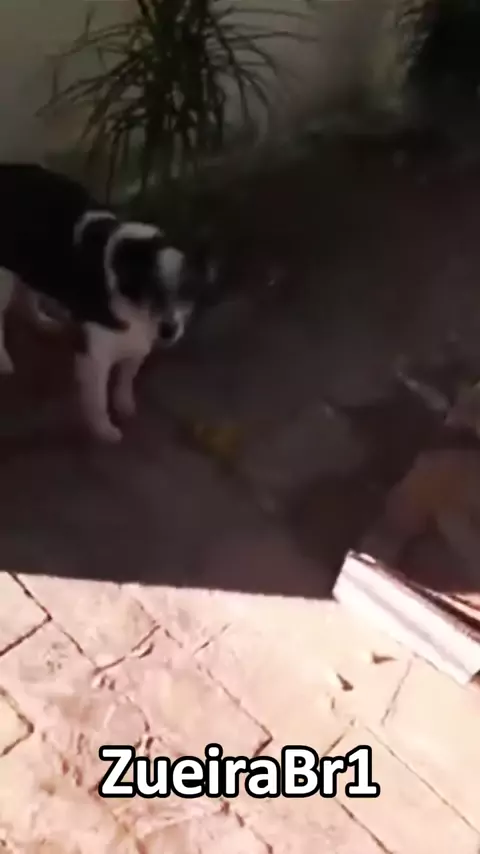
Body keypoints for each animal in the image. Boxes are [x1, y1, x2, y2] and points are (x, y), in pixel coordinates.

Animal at [0, 164, 214, 442]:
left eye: (187, 290)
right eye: (151, 288)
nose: (168, 331)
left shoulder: (139, 341)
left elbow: (127, 378)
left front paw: (124, 404)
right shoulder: (95, 355)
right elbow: (98, 399)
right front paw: (104, 430)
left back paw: (41, 321)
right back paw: (4, 361)